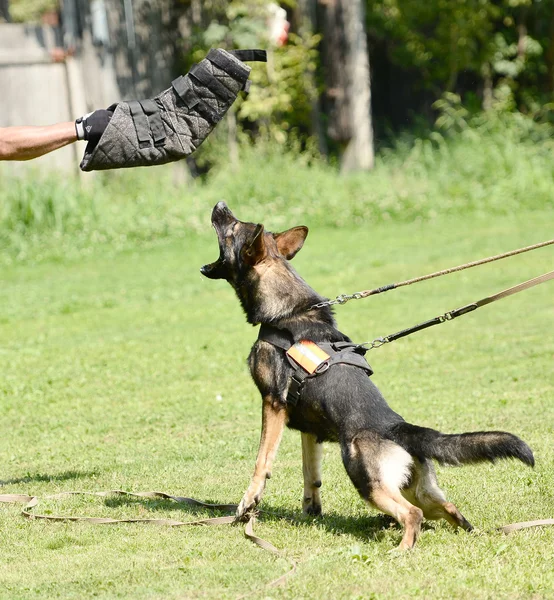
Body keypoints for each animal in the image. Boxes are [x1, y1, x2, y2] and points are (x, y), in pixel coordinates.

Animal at [201, 202, 532, 548]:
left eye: (233, 228)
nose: (220, 205)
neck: (288, 313)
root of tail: (399, 429)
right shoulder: (309, 428)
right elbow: (311, 473)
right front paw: (311, 509)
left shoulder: (273, 403)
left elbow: (262, 460)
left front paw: (248, 502)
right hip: (420, 491)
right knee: (449, 509)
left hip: (365, 476)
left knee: (412, 514)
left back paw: (401, 550)